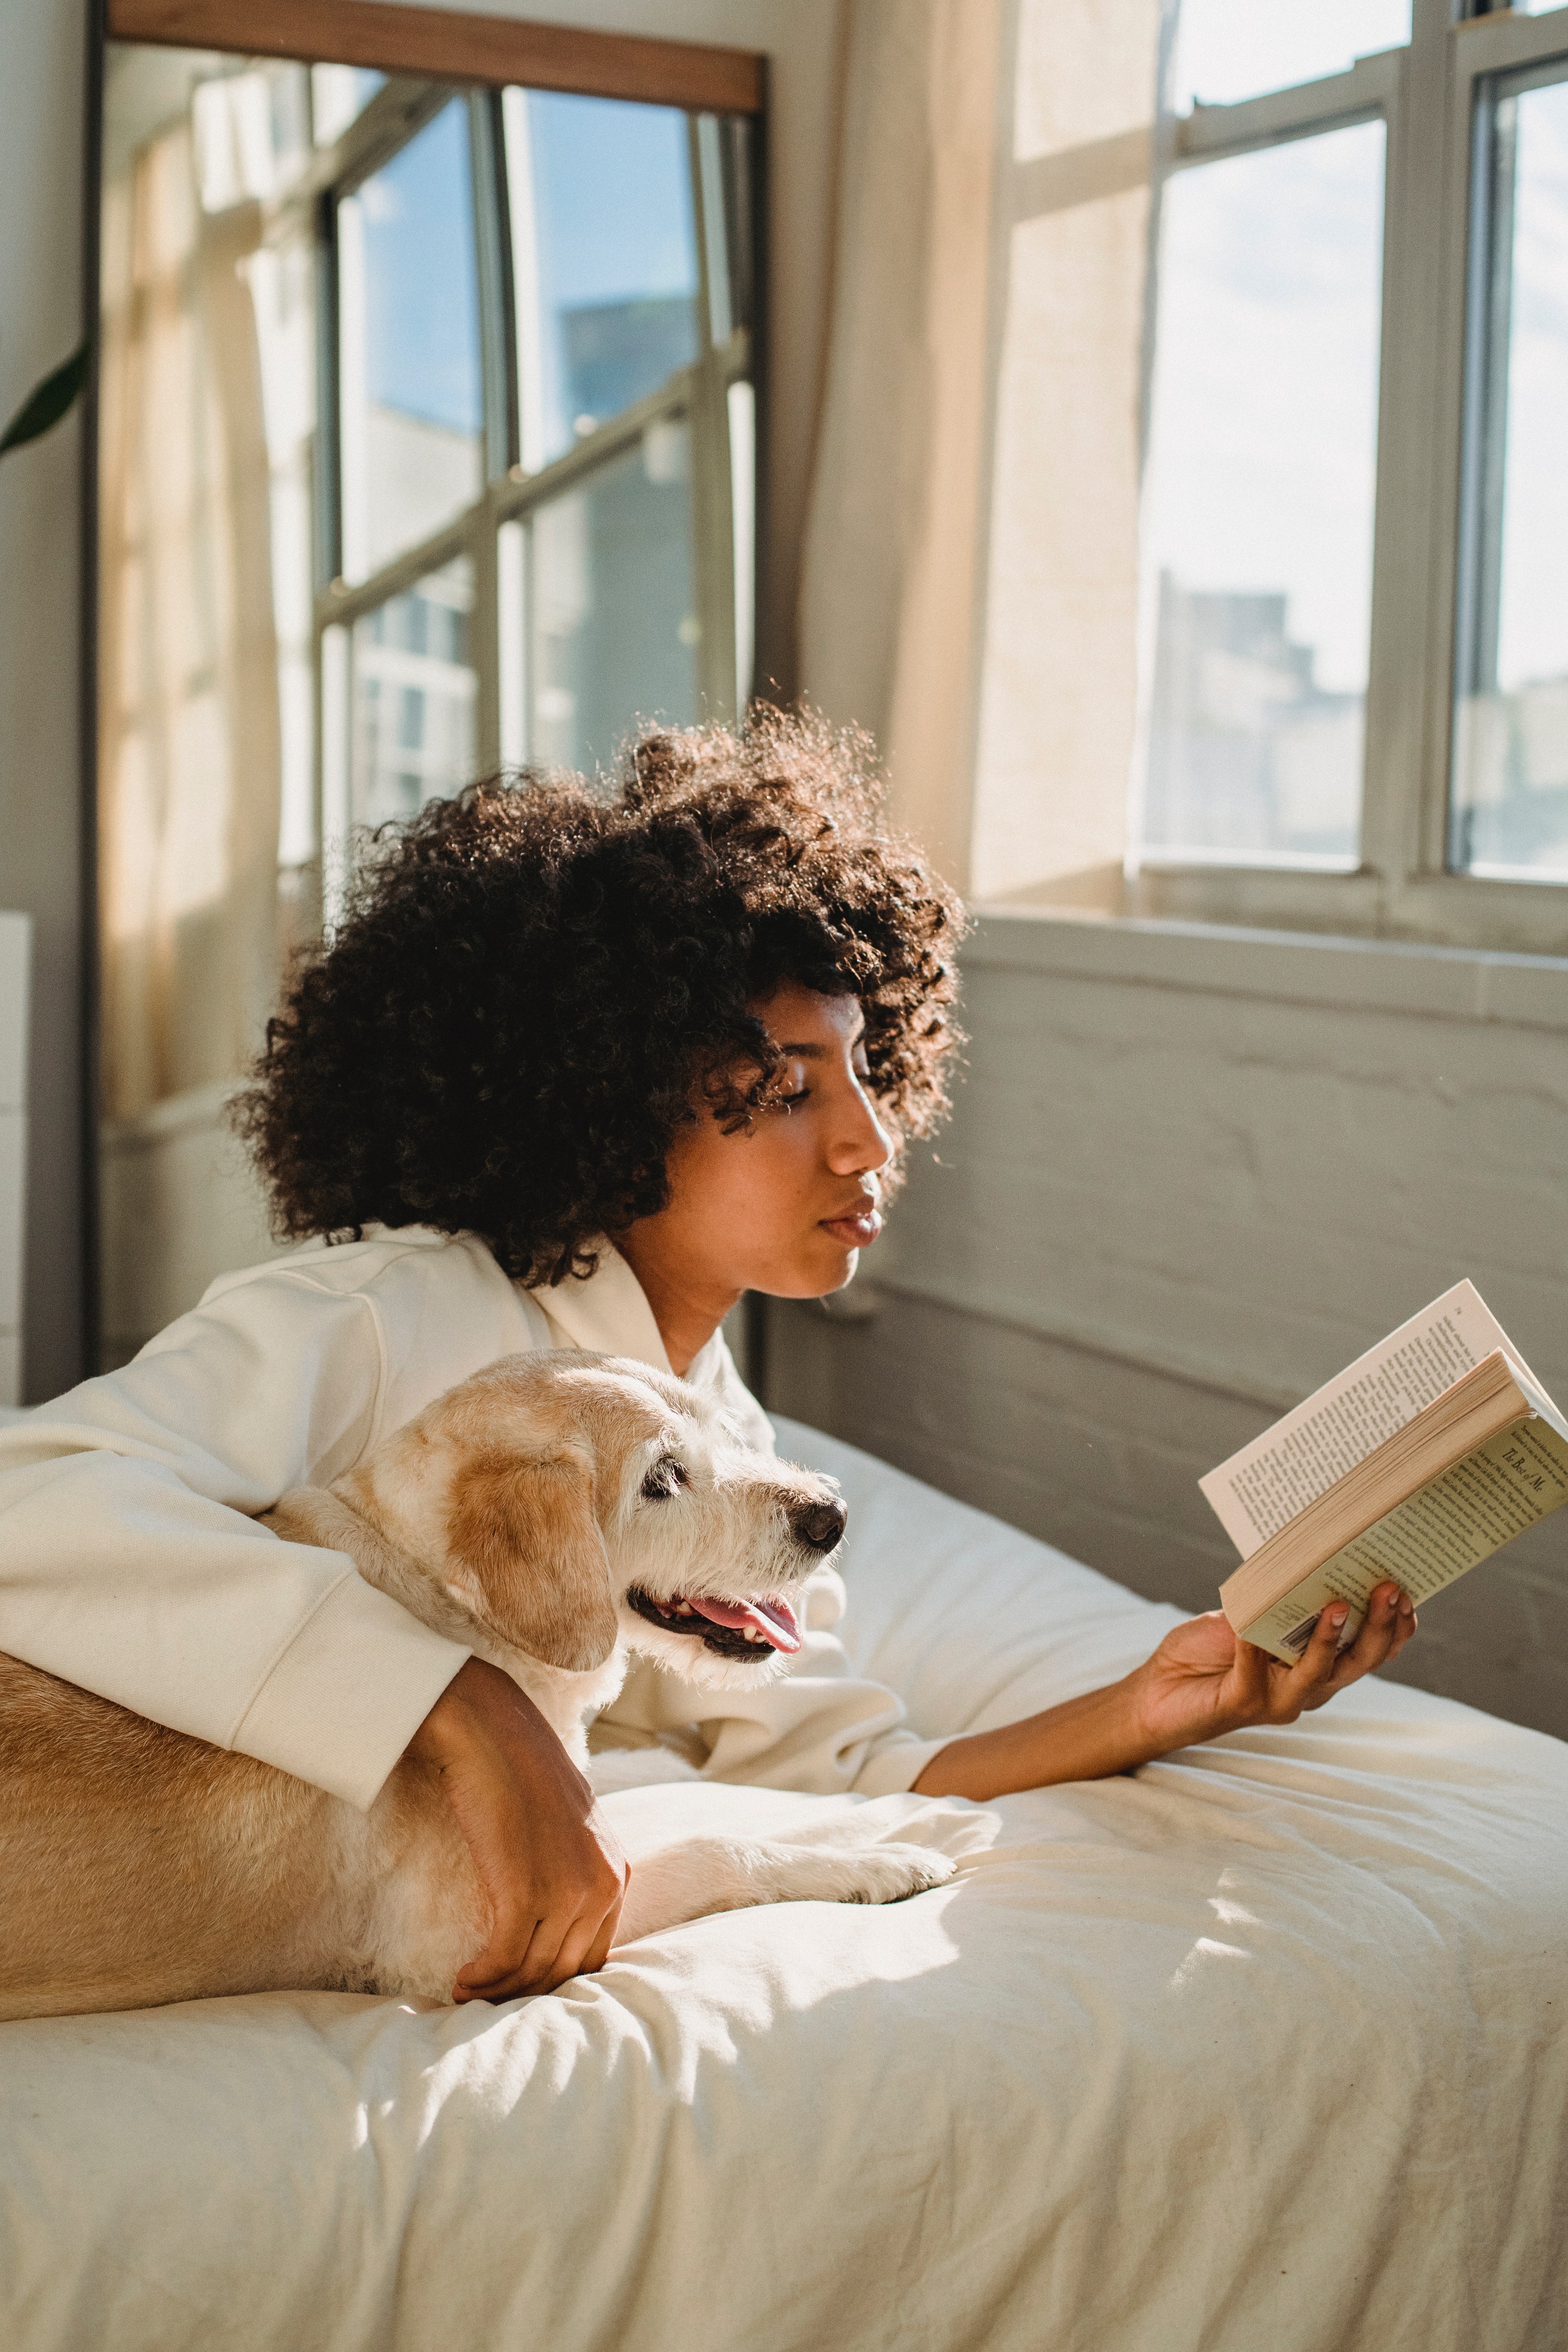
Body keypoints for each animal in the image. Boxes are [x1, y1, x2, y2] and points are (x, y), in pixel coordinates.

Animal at [3, 1345, 959, 2023]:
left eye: (722, 1436)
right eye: (662, 1479)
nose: (831, 1517)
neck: (441, 1600)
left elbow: (636, 1777)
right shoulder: (478, 1946)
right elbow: (719, 1847)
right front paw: (877, 1860)